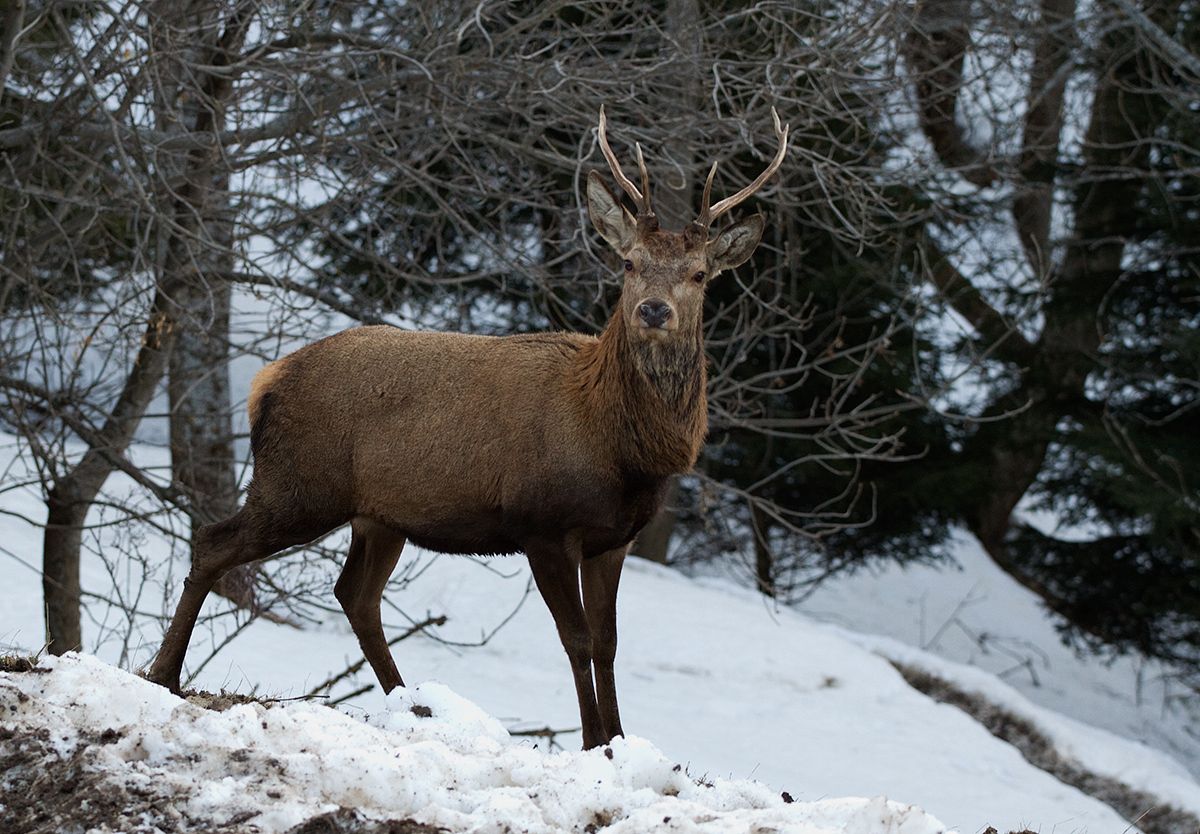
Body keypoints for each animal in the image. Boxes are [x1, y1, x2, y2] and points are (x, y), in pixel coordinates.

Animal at [146, 106, 788, 749]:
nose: (653, 309)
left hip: (378, 514)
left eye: (700, 274)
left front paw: (618, 740)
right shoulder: (542, 523)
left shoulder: (615, 540)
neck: (621, 448)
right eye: (629, 262)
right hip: (299, 483)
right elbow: (577, 639)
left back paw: (410, 704)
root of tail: (265, 382)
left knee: (354, 594)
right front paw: (592, 743)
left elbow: (609, 644)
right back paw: (164, 675)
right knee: (214, 541)